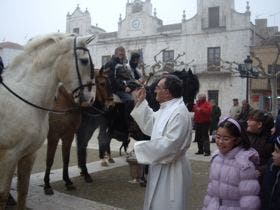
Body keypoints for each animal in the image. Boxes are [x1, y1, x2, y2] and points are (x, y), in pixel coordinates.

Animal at [0, 33, 95, 210]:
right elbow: (2, 194)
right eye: (84, 61)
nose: (90, 98)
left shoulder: (28, 154)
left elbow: (23, 191)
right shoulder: (9, 156)